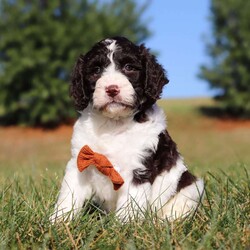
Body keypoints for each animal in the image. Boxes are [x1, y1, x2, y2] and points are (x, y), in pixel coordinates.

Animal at [50, 36, 203, 222]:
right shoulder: (81, 160)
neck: (113, 124)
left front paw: (125, 226)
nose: (112, 89)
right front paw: (59, 221)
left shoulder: (137, 168)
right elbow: (69, 194)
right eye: (96, 70)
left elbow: (130, 204)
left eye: (129, 67)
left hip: (192, 186)